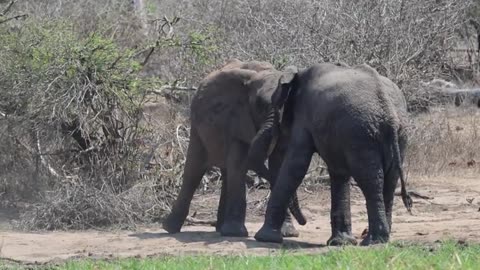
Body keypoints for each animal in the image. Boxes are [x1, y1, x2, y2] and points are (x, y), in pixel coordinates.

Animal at [161, 58, 306, 236]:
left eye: (289, 105)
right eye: (259, 105)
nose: (304, 221)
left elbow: (278, 166)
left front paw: (288, 233)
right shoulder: (236, 118)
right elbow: (240, 163)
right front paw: (236, 233)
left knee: (225, 173)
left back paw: (220, 228)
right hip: (196, 128)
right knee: (194, 171)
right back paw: (170, 228)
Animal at [249, 62, 414, 246]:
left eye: (275, 106)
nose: (304, 222)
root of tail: (389, 112)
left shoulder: (305, 116)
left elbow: (296, 164)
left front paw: (264, 238)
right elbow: (338, 171)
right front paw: (341, 243)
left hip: (361, 133)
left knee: (370, 179)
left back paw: (373, 241)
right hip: (398, 134)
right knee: (389, 180)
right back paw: (379, 239)